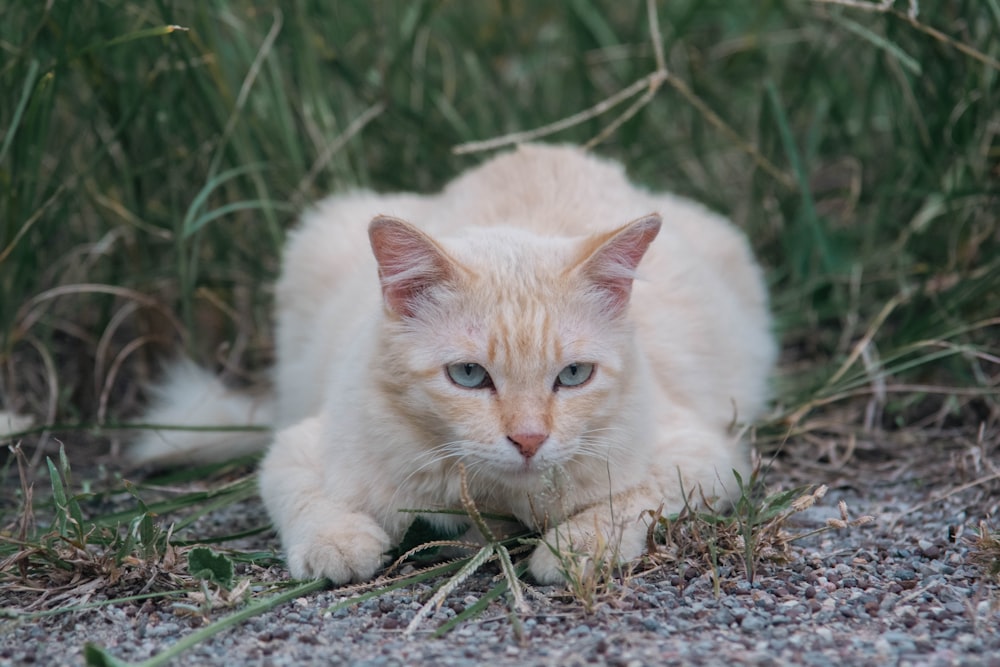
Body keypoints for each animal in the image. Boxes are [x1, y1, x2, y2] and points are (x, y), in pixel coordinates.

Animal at [131, 145, 772, 584]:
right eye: (468, 376)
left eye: (573, 376)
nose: (530, 439)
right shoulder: (298, 447)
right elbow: (304, 499)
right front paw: (341, 546)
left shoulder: (703, 458)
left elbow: (624, 505)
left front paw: (572, 552)